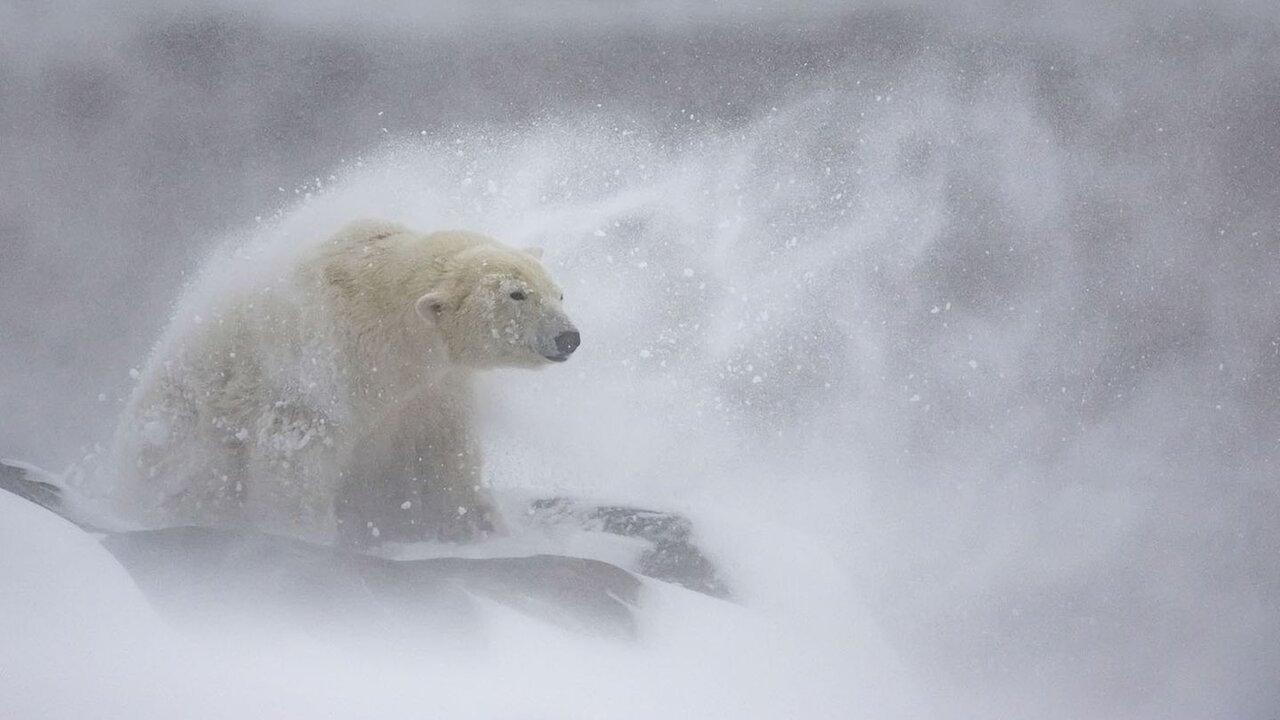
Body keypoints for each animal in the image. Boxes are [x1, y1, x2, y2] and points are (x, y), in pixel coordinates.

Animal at [104, 219, 581, 543]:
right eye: (516, 294)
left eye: (557, 292)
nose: (568, 337)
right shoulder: (322, 367)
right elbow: (295, 454)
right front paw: (305, 536)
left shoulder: (433, 388)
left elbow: (445, 455)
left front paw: (481, 527)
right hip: (179, 432)